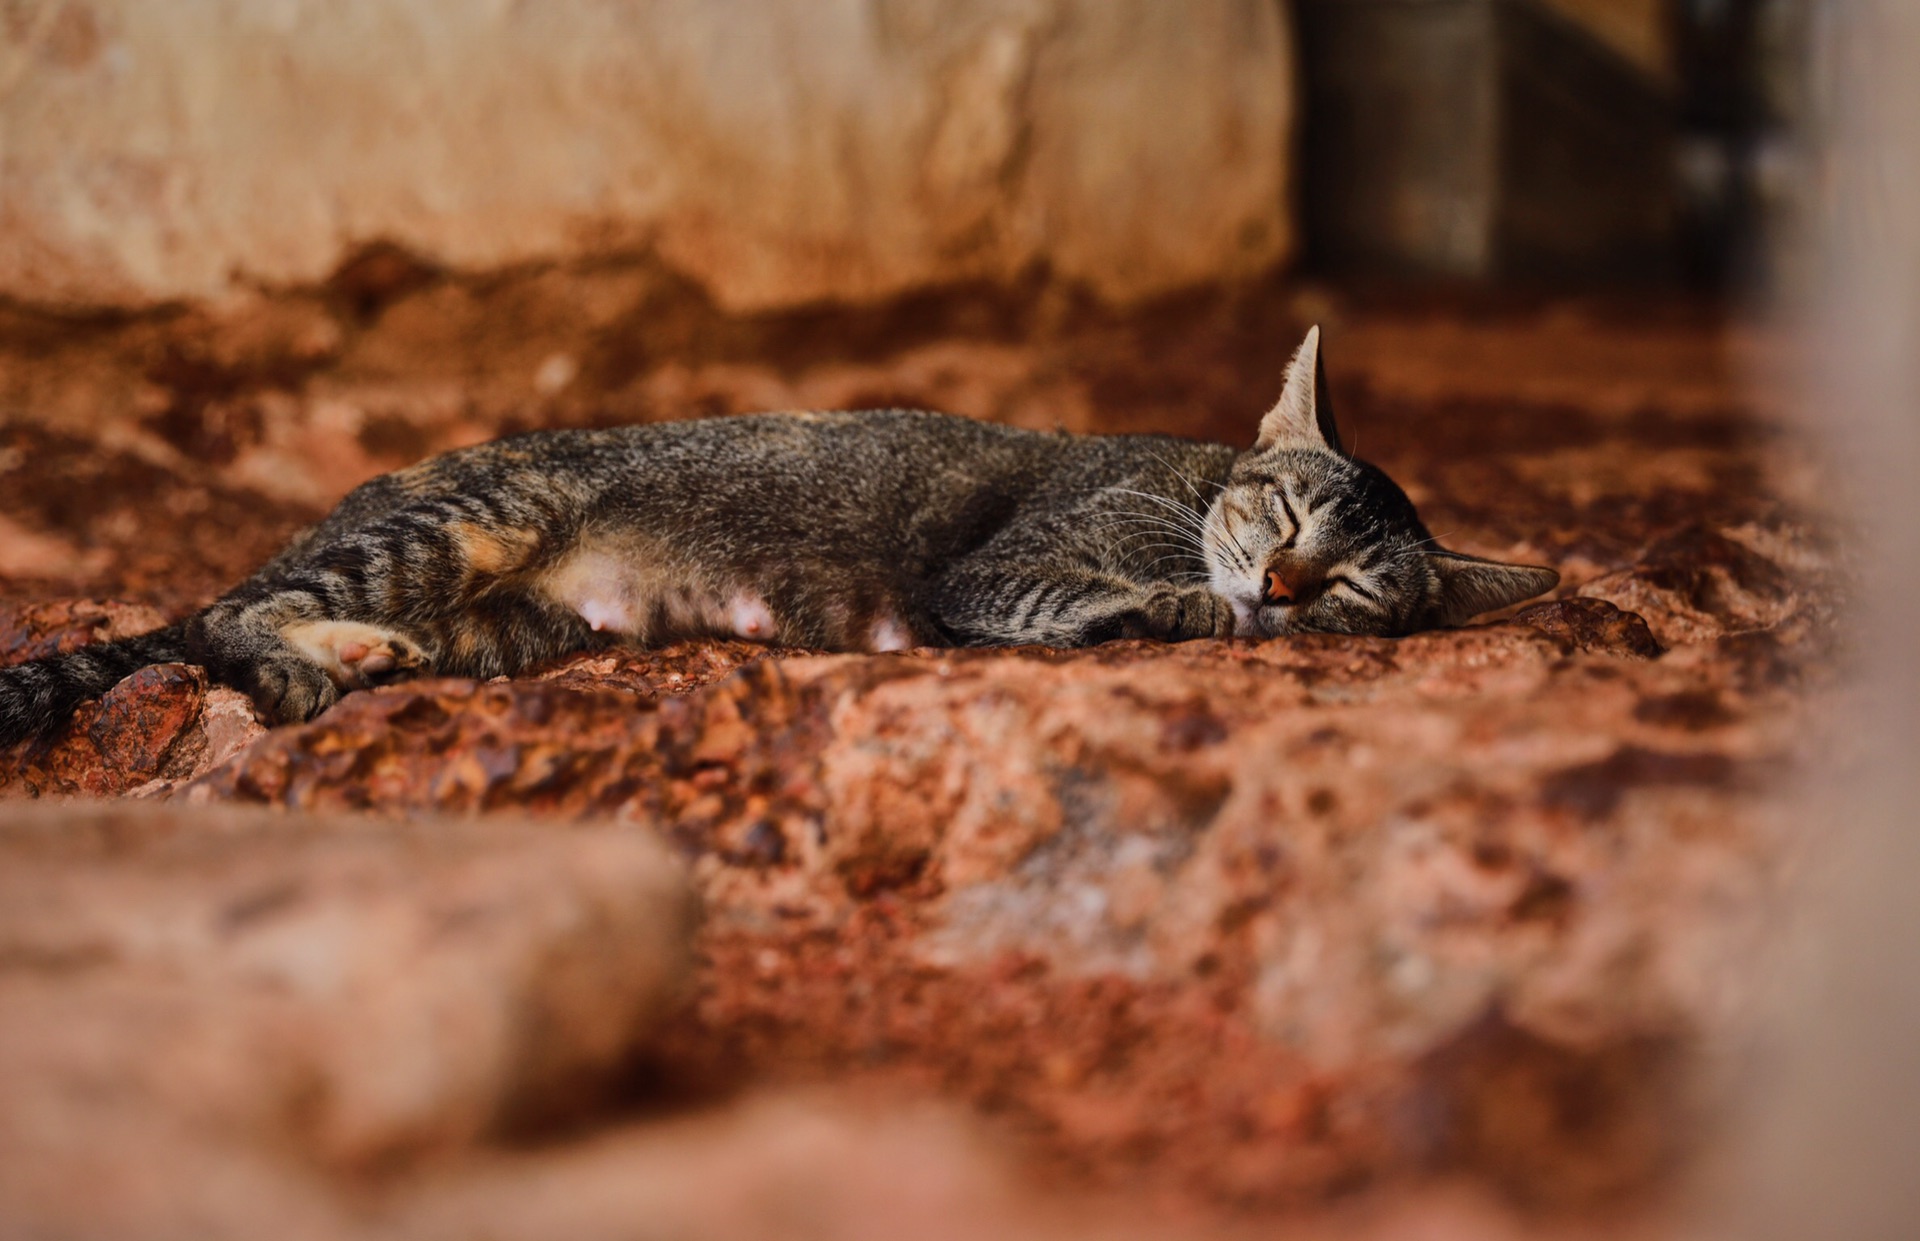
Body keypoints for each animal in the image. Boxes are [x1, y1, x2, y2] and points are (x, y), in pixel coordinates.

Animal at [0, 322, 1559, 749]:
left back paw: (369, 655)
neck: (1193, 487)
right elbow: (1133, 599)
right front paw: (1203, 603)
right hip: (464, 523)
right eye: (1286, 511)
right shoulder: (994, 573)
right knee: (219, 616)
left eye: (1355, 588)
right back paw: (309, 663)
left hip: (510, 630)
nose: (1289, 583)